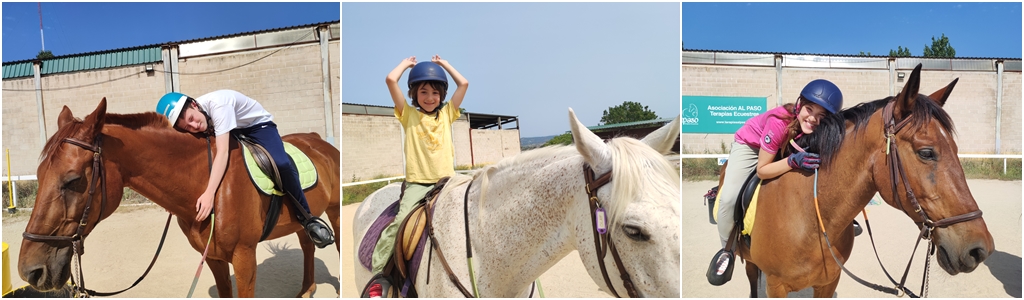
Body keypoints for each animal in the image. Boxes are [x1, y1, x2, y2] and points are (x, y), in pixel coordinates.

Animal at [18, 98, 342, 296]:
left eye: (73, 180)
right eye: (39, 175)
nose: (29, 271)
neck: (208, 185)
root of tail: (319, 141)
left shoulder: (244, 257)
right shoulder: (213, 258)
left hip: (334, 213)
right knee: (307, 246)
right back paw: (307, 288)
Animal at [720, 63, 991, 296]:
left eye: (956, 149)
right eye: (926, 152)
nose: (980, 249)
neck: (810, 220)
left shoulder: (829, 282)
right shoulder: (776, 286)